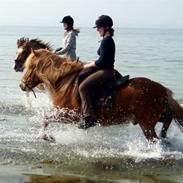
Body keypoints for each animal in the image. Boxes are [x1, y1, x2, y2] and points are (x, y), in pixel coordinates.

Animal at [19, 48, 183, 142]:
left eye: (30, 67)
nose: (21, 85)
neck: (64, 83)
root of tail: (161, 89)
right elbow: (45, 119)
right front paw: (45, 136)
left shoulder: (69, 116)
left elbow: (45, 119)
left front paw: (45, 136)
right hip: (156, 116)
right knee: (168, 118)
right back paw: (164, 135)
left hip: (147, 123)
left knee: (154, 138)